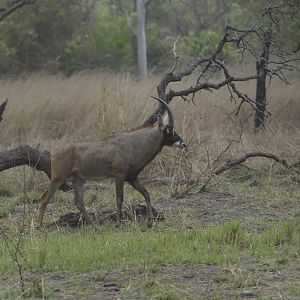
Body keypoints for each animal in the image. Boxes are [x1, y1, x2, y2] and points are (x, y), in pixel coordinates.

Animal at [38, 96, 185, 227]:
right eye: (170, 129)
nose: (183, 143)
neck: (133, 144)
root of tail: (55, 150)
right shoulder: (119, 175)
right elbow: (119, 199)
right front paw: (119, 224)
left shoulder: (132, 178)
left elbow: (146, 194)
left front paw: (149, 222)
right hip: (58, 178)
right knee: (45, 198)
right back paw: (39, 226)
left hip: (78, 180)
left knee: (78, 202)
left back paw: (95, 226)